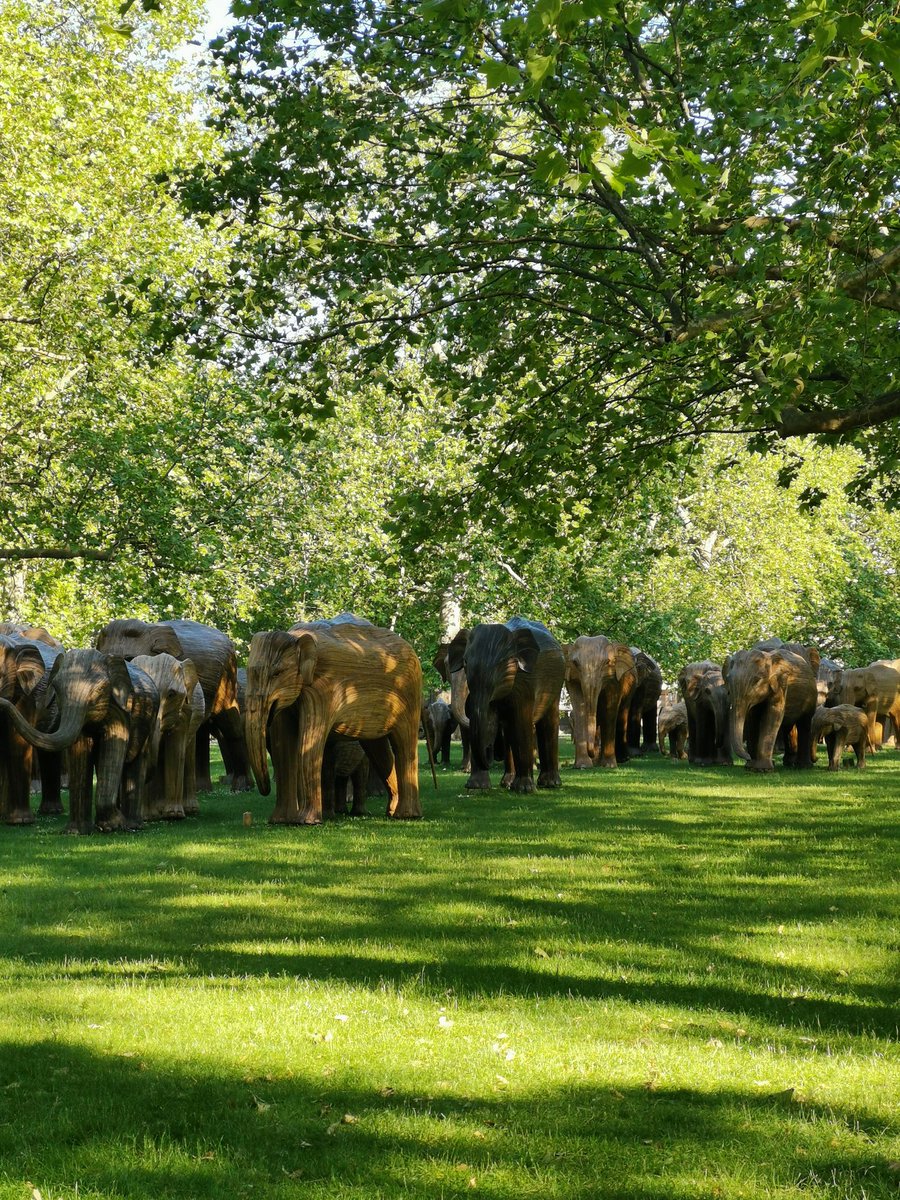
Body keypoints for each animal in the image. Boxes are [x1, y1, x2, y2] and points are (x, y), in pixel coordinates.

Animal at [244, 614, 423, 825]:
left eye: (277, 673)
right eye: (248, 673)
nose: (265, 790)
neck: (296, 638)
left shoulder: (322, 690)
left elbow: (309, 741)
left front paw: (306, 822)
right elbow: (283, 746)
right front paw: (279, 821)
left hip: (410, 695)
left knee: (404, 744)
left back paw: (407, 815)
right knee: (380, 751)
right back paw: (392, 812)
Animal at [458, 617, 564, 793]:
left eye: (502, 662)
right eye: (465, 662)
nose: (490, 753)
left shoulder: (524, 682)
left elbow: (521, 725)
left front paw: (524, 789)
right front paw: (476, 787)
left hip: (556, 684)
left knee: (548, 723)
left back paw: (549, 784)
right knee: (509, 730)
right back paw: (507, 783)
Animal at [562, 635, 635, 769]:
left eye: (607, 663)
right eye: (575, 663)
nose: (590, 753)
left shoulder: (616, 679)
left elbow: (610, 709)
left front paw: (609, 766)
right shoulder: (570, 678)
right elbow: (579, 707)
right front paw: (583, 766)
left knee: (622, 713)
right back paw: (595, 762)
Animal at [723, 642, 819, 772]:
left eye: (757, 680)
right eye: (728, 679)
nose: (747, 757)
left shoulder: (781, 683)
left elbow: (772, 714)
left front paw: (763, 769)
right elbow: (752, 718)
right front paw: (751, 767)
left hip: (811, 696)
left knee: (804, 724)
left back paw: (803, 766)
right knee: (788, 726)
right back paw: (789, 763)